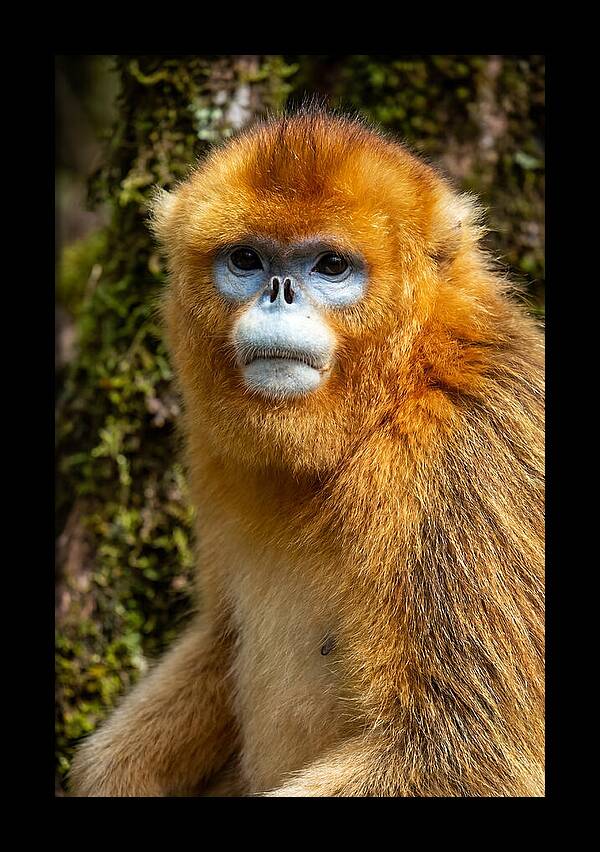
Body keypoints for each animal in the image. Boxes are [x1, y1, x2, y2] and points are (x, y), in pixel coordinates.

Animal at [69, 108, 544, 797]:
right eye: (246, 259)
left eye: (330, 266)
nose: (279, 291)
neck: (398, 393)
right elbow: (220, 638)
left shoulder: (465, 456)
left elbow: (466, 756)